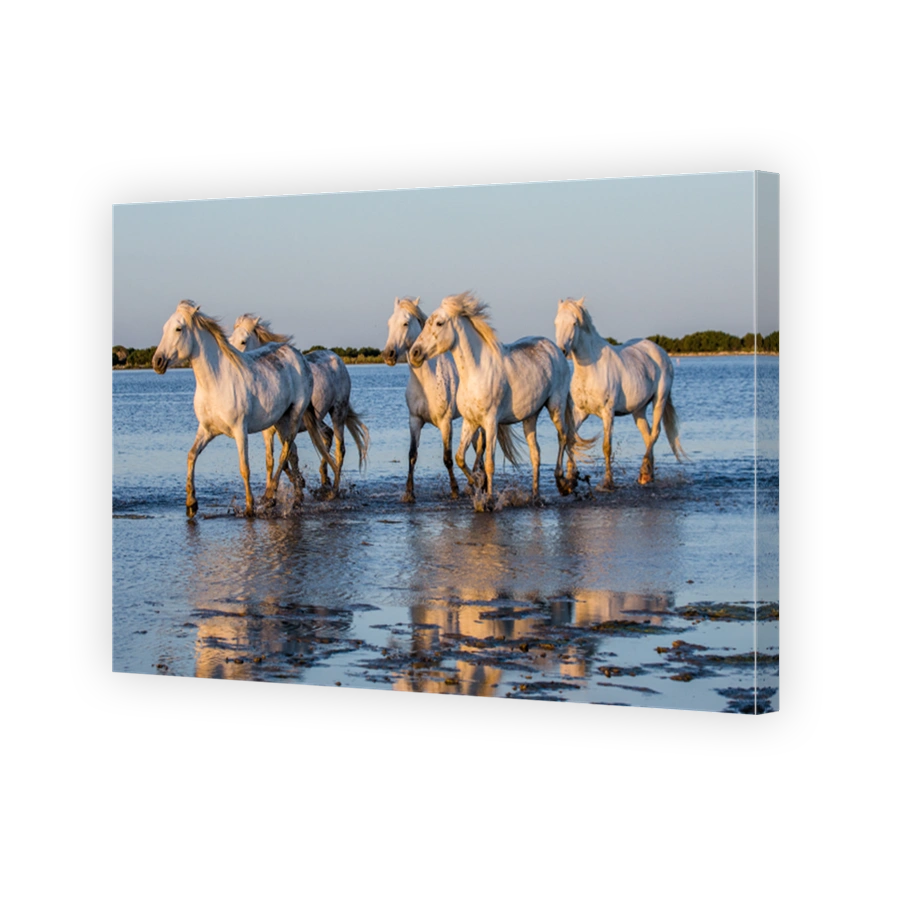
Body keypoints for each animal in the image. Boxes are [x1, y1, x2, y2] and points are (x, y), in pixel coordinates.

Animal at [152, 300, 335, 517]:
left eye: (178, 329)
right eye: (164, 328)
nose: (157, 362)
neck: (215, 382)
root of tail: (299, 356)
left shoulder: (240, 430)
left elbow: (244, 468)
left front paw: (249, 507)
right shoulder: (206, 430)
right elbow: (191, 456)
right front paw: (191, 504)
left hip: (295, 415)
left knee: (286, 450)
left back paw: (271, 494)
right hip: (281, 420)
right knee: (290, 452)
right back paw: (295, 499)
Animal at [229, 315, 369, 499]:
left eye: (243, 341)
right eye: (229, 339)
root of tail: (336, 358)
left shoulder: (286, 427)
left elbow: (288, 455)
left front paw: (294, 488)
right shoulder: (268, 432)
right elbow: (273, 460)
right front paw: (282, 489)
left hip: (338, 411)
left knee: (340, 449)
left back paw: (333, 491)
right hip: (317, 419)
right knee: (327, 435)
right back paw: (324, 480)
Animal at [383, 297, 491, 502]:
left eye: (405, 323)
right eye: (389, 323)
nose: (388, 355)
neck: (426, 380)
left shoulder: (445, 423)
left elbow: (447, 458)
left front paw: (455, 490)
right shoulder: (415, 421)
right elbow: (412, 455)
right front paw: (409, 493)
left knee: (481, 445)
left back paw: (474, 482)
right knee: (477, 445)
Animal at [408, 292, 578, 509]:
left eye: (439, 323)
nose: (414, 353)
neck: (475, 372)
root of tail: (555, 348)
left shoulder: (490, 422)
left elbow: (489, 462)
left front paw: (487, 500)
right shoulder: (470, 422)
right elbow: (459, 457)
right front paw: (477, 484)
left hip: (556, 405)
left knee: (563, 437)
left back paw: (563, 484)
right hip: (530, 417)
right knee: (536, 454)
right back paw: (535, 496)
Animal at [554, 297, 688, 490]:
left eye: (574, 323)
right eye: (556, 322)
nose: (562, 351)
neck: (592, 368)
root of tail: (660, 351)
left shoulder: (608, 413)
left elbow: (606, 446)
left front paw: (608, 482)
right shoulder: (580, 412)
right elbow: (571, 438)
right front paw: (570, 478)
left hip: (660, 400)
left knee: (655, 432)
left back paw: (644, 473)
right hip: (638, 410)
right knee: (647, 435)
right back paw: (648, 475)